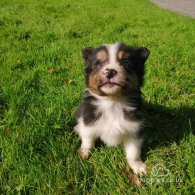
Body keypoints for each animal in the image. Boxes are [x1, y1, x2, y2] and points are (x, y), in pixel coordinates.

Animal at [74, 42, 150, 174]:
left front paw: (138, 167)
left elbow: (133, 153)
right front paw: (84, 153)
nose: (110, 71)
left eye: (126, 63)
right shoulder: (88, 122)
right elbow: (88, 140)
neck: (113, 102)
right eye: (98, 64)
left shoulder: (134, 129)